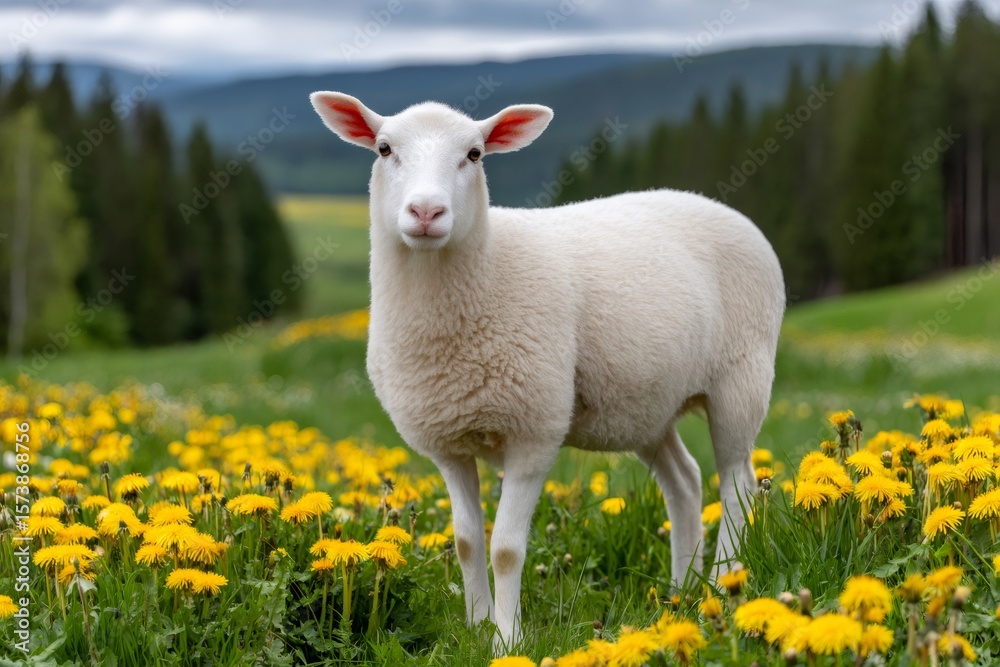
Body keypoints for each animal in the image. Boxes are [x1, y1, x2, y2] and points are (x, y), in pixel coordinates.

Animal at [309, 91, 786, 649]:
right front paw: (476, 627)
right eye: (384, 149)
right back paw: (680, 592)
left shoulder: (533, 431)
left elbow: (506, 548)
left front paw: (507, 640)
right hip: (646, 405)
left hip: (741, 379)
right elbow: (468, 542)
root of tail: (723, 208)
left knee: (736, 486)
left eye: (474, 154)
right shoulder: (447, 443)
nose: (426, 211)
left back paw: (724, 581)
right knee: (685, 482)